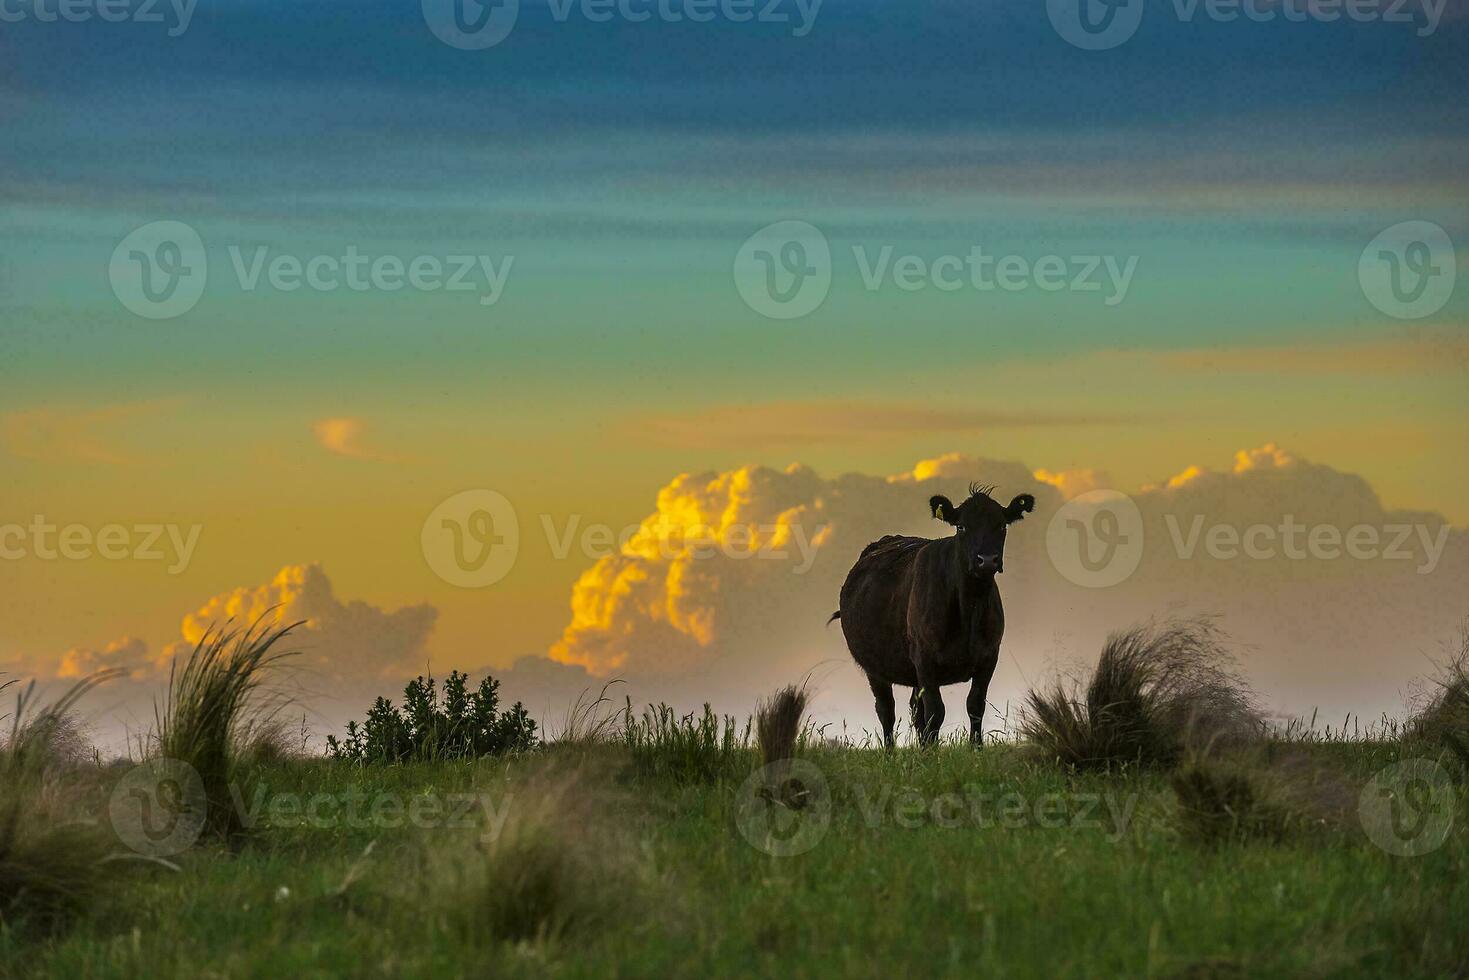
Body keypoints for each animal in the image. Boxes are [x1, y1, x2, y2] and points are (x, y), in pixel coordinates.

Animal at [828, 484, 1034, 752]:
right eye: (961, 526)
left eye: (1001, 525)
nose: (987, 560)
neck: (969, 609)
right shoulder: (925, 659)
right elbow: (936, 711)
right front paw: (933, 755)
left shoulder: (989, 656)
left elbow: (975, 705)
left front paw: (975, 749)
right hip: (875, 667)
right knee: (886, 710)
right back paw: (890, 753)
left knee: (916, 710)